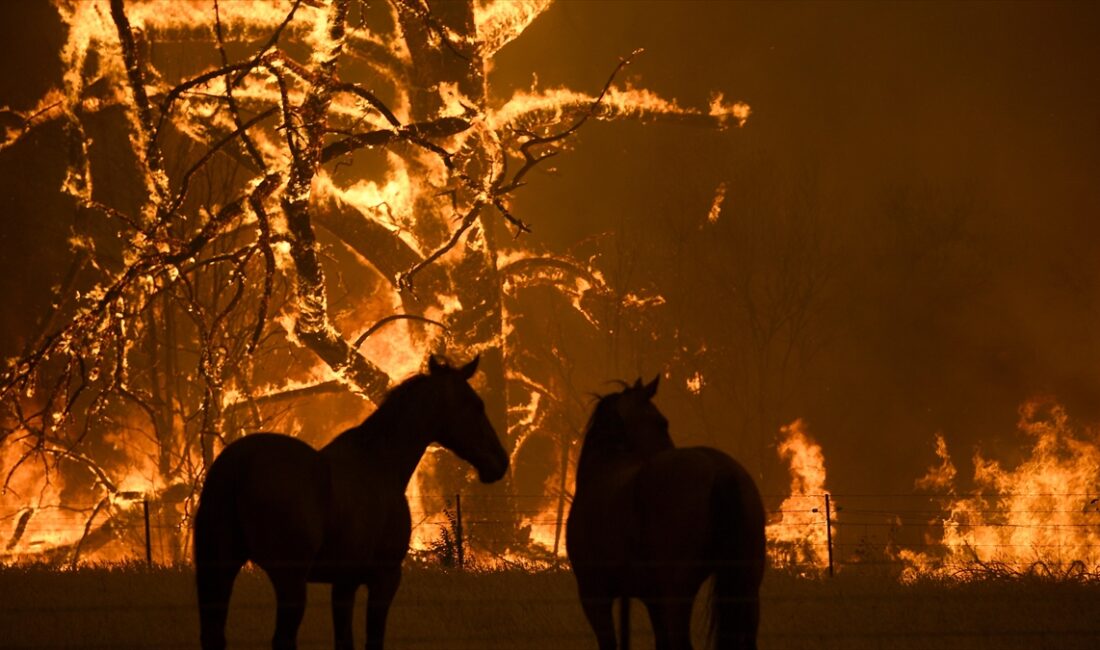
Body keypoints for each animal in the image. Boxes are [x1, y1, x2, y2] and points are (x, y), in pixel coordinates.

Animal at [192, 356, 506, 650]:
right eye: (476, 405)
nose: (500, 462)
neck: (379, 463)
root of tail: (238, 464)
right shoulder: (384, 578)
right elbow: (372, 640)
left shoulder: (345, 583)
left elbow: (344, 640)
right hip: (289, 580)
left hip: (221, 568)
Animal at [567, 376, 765, 650]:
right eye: (661, 422)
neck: (605, 468)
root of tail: (719, 469)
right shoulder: (652, 599)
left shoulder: (594, 596)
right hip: (747, 586)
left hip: (678, 592)